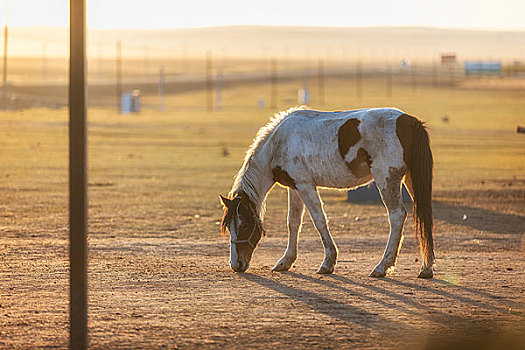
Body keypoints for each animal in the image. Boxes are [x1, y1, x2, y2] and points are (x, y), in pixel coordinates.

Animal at [219, 106, 432, 278]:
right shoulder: (295, 187)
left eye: (245, 225)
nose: (236, 265)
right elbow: (293, 222)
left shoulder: (305, 185)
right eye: (229, 226)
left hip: (387, 180)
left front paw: (328, 262)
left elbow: (319, 220)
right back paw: (426, 268)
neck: (278, 143)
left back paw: (382, 267)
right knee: (423, 215)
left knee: (397, 216)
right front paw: (286, 261)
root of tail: (410, 121)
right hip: (410, 179)